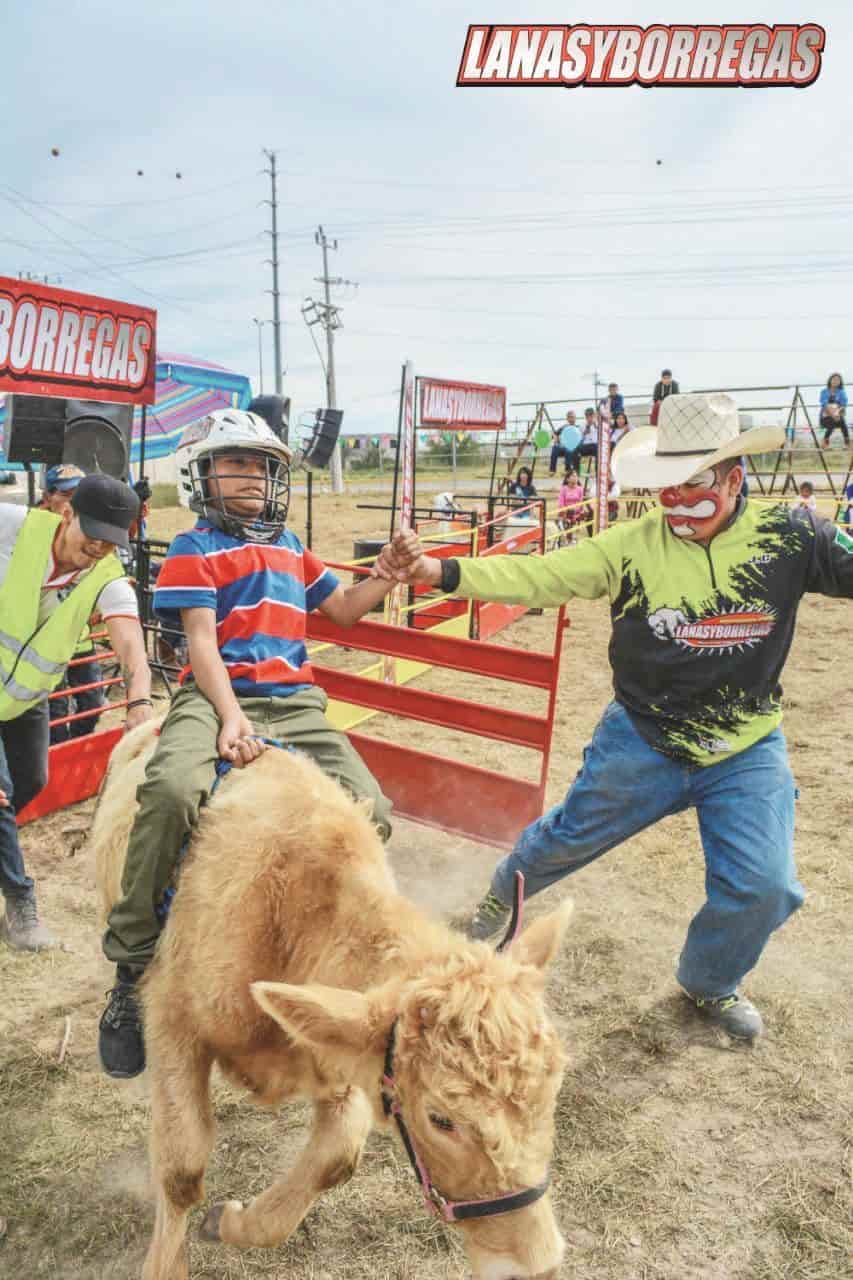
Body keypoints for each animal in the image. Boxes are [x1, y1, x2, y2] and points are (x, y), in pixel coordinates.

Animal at [94, 727, 571, 1274]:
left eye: (553, 1090)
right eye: (441, 1119)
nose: (537, 1263)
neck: (287, 914)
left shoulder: (339, 1054)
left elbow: (335, 1160)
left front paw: (232, 1222)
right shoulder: (174, 1023)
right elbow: (182, 1168)